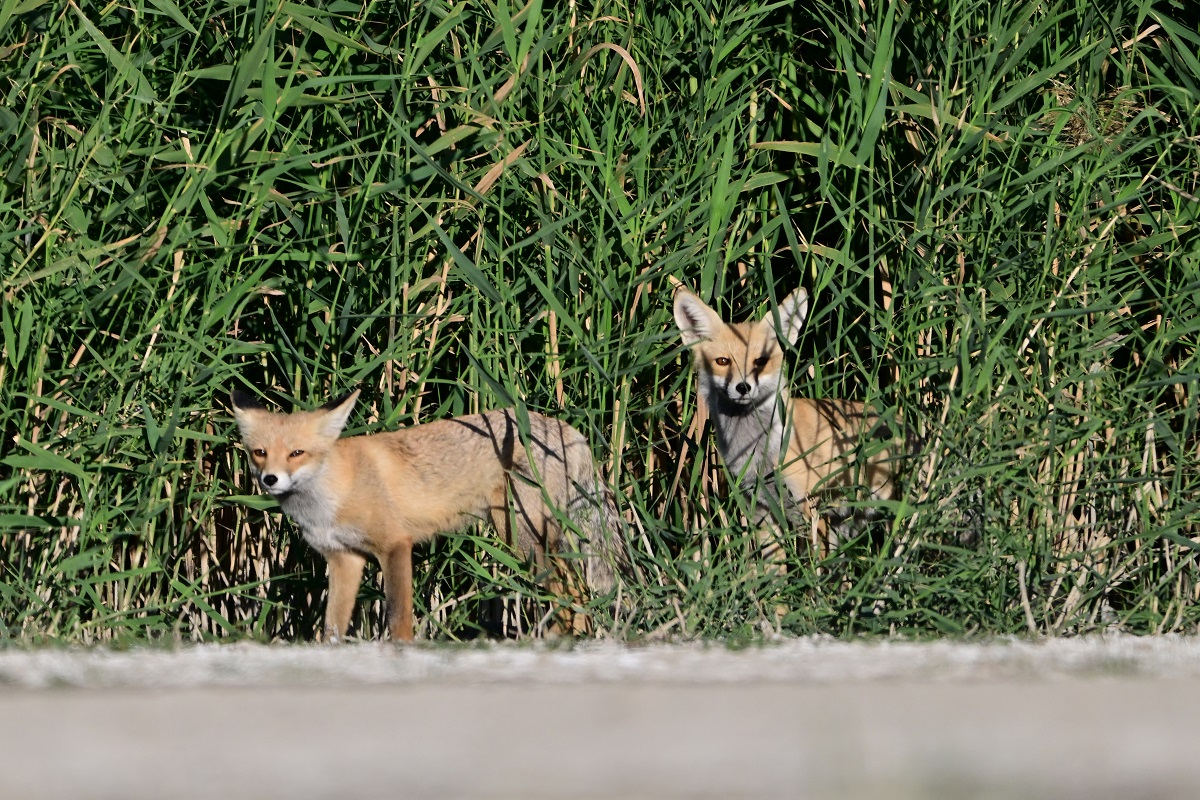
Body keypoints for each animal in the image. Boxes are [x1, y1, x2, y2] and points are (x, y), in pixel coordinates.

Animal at [225, 388, 624, 642]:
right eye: (260, 452)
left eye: (297, 453)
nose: (270, 479)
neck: (333, 493)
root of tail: (566, 428)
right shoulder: (344, 558)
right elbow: (332, 627)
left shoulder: (395, 546)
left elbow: (398, 618)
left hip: (523, 537)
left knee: (571, 588)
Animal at [672, 287, 897, 556]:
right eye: (723, 361)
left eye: (760, 361)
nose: (743, 387)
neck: (759, 452)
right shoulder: (761, 510)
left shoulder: (812, 508)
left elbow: (815, 563)